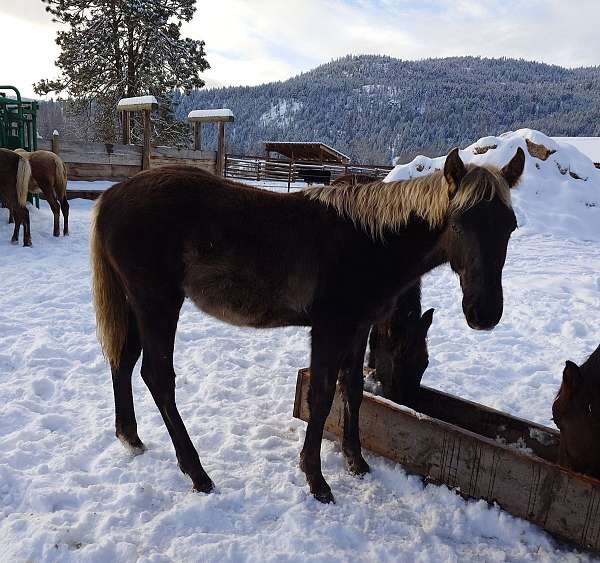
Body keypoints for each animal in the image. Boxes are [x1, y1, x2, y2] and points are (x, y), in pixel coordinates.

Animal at [90, 148, 524, 504]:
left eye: (510, 226)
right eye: (460, 223)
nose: (485, 313)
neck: (369, 241)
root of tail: (112, 197)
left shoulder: (358, 329)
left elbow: (352, 390)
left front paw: (356, 461)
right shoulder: (329, 329)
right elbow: (322, 396)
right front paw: (316, 480)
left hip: (137, 304)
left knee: (123, 361)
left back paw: (130, 437)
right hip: (158, 303)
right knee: (157, 376)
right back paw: (197, 473)